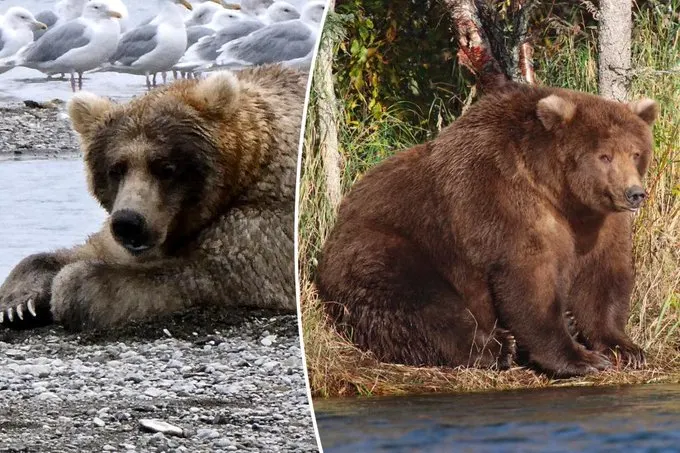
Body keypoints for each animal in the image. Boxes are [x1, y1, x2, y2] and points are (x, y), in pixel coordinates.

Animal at [0, 65, 306, 331]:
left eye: (166, 168)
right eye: (116, 168)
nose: (129, 223)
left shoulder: (267, 214)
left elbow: (221, 270)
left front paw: (70, 285)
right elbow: (94, 247)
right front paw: (19, 303)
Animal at [316, 83, 658, 378]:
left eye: (636, 152)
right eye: (604, 155)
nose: (634, 193)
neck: (560, 193)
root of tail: (333, 231)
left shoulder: (599, 223)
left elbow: (603, 278)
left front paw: (625, 348)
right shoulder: (503, 200)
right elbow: (529, 280)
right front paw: (581, 358)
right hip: (387, 247)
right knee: (421, 303)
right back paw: (498, 346)